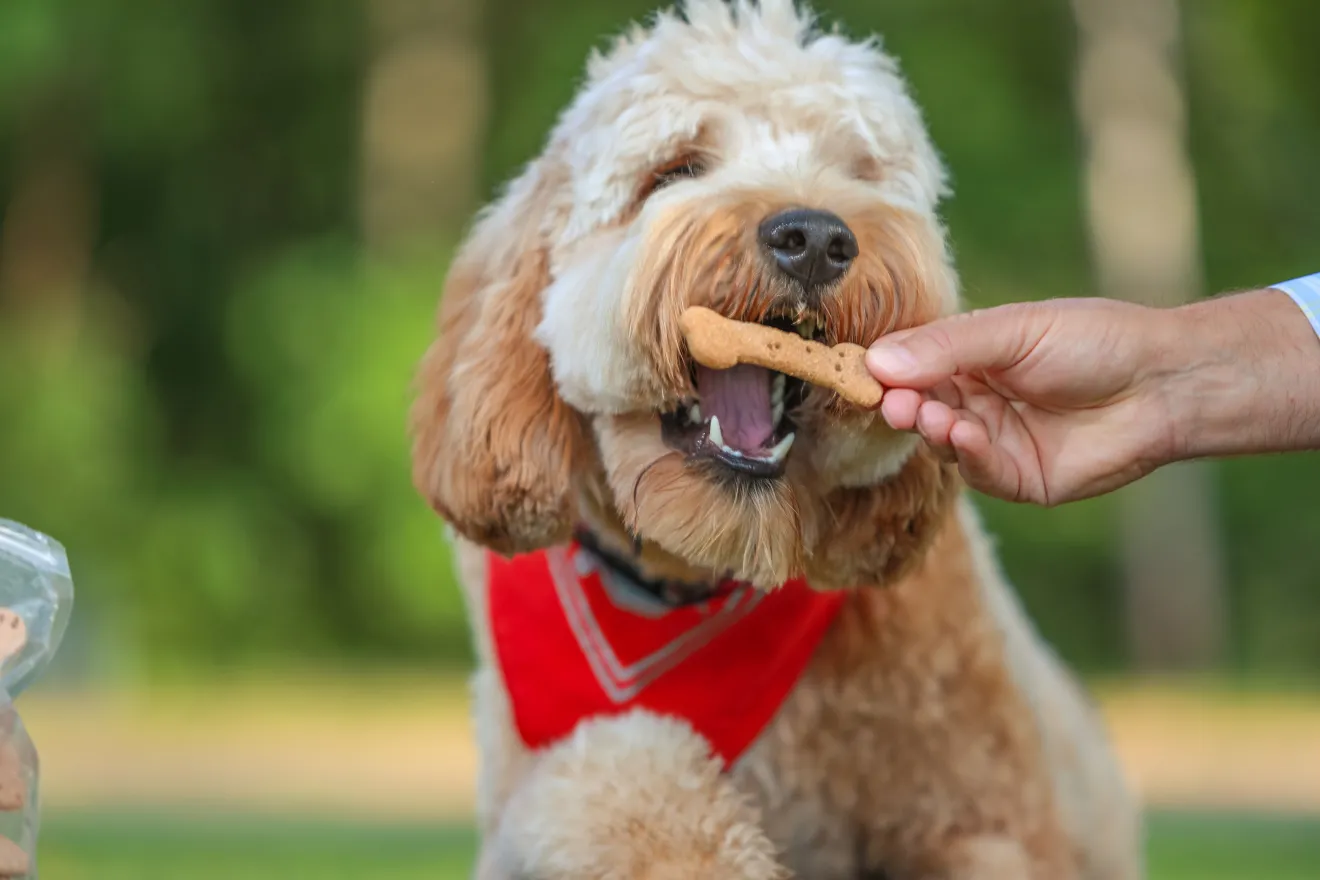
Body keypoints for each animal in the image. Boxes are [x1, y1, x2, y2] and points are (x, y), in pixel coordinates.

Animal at [406, 1, 1140, 880]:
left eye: (858, 171)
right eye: (675, 169)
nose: (817, 237)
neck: (694, 585)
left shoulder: (1002, 819)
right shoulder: (540, 787)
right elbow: (617, 772)